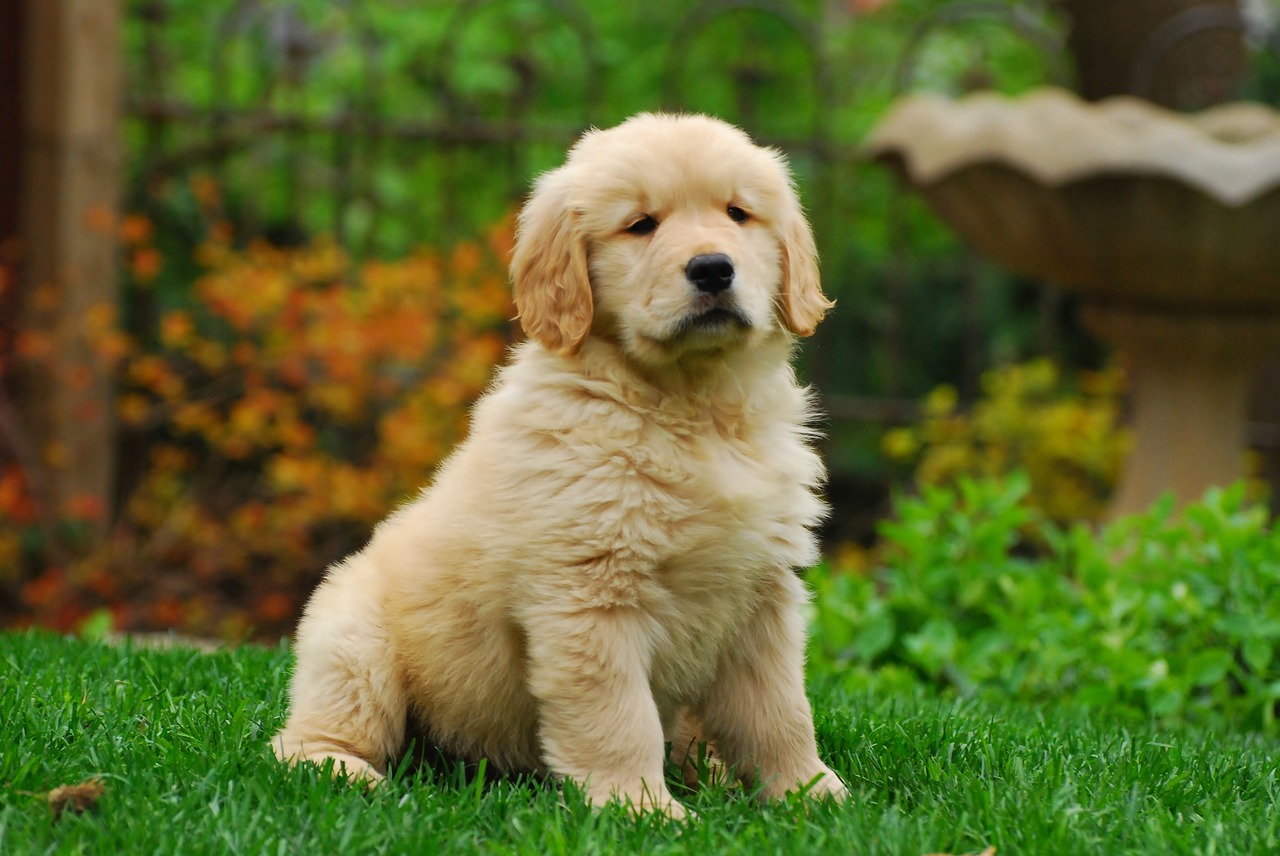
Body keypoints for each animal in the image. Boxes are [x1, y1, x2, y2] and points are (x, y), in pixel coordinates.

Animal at [271, 111, 849, 813]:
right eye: (641, 224)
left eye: (738, 214)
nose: (713, 268)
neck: (690, 407)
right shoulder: (590, 597)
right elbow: (618, 717)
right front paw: (642, 809)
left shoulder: (762, 594)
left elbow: (780, 711)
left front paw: (812, 795)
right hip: (355, 641)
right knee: (309, 737)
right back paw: (344, 771)